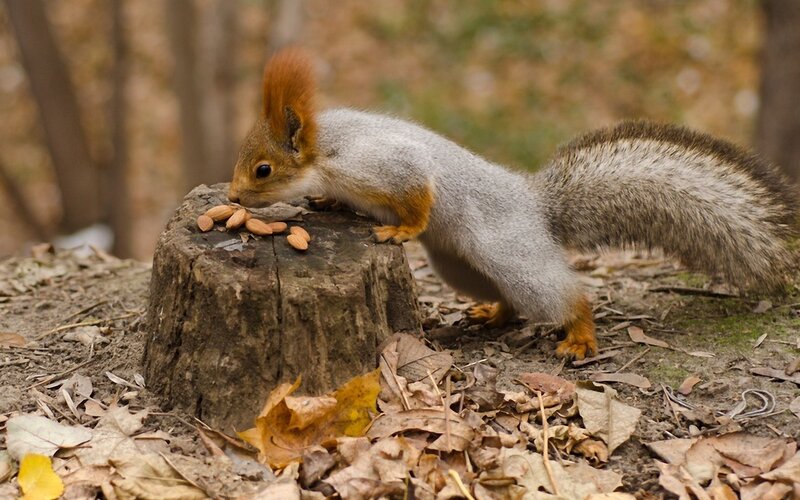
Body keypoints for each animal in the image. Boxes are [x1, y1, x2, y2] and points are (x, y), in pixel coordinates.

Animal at [228, 48, 798, 360]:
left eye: (263, 170)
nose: (232, 197)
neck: (325, 148)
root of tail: (537, 206)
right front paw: (325, 201)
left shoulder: (379, 163)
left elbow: (418, 191)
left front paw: (401, 229)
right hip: (460, 266)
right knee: (507, 300)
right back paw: (491, 313)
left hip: (512, 254)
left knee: (563, 296)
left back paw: (580, 335)